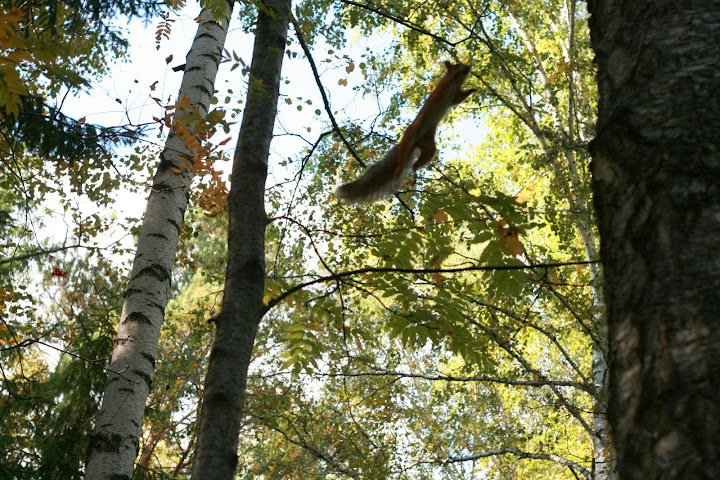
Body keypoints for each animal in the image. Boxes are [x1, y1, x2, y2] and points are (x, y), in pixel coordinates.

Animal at [334, 61, 476, 204]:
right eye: (457, 64)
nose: (468, 66)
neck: (455, 84)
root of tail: (417, 142)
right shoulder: (442, 87)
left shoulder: (455, 96)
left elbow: (460, 98)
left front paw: (472, 90)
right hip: (410, 136)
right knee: (403, 155)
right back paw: (399, 168)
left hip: (429, 147)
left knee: (418, 163)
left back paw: (415, 172)